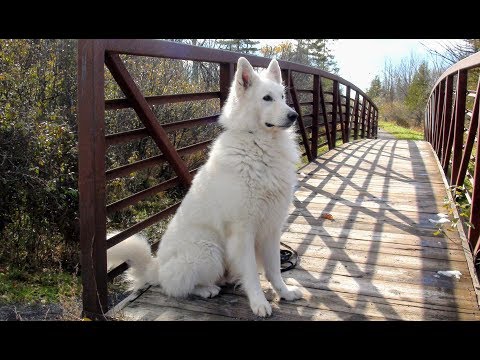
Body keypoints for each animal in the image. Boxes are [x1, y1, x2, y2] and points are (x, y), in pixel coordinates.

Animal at [109, 54, 304, 316]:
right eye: (266, 98)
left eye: (282, 97)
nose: (293, 115)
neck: (259, 145)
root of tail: (157, 269)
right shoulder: (243, 231)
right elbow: (252, 273)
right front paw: (259, 302)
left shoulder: (272, 228)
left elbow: (273, 269)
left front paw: (284, 292)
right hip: (210, 252)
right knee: (177, 288)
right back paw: (206, 289)